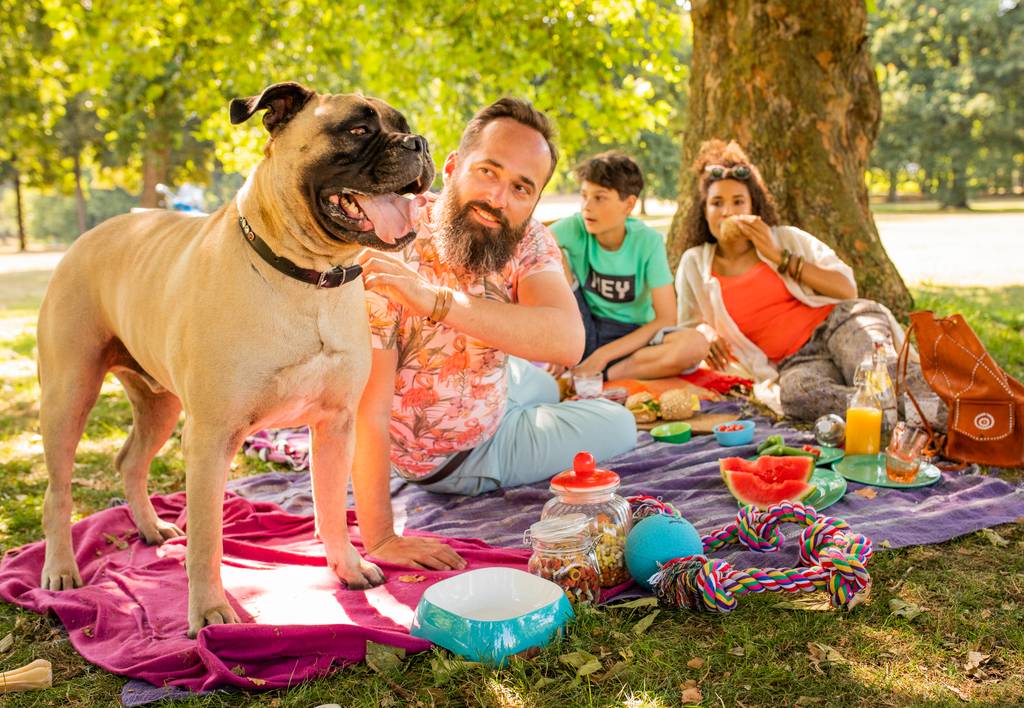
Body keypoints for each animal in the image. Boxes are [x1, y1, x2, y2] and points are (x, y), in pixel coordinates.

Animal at [36, 81, 432, 635]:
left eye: (403, 124)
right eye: (357, 129)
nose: (420, 143)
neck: (309, 277)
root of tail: (89, 236)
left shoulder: (335, 426)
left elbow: (332, 507)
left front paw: (348, 568)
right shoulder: (210, 438)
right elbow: (207, 538)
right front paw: (208, 611)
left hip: (160, 405)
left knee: (130, 461)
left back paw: (151, 528)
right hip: (69, 395)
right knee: (58, 492)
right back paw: (61, 568)